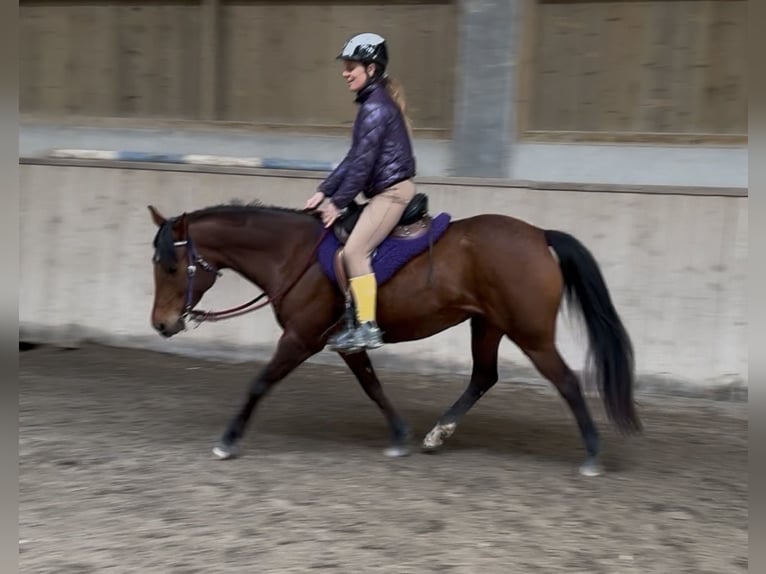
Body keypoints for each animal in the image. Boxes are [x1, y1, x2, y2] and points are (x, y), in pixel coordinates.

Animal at [147, 193, 641, 477]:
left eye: (171, 266)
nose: (161, 323)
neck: (294, 255)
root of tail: (539, 235)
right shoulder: (343, 344)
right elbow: (373, 386)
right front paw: (400, 435)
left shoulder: (301, 338)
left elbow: (259, 383)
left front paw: (228, 441)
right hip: (488, 324)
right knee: (484, 377)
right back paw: (437, 434)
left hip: (530, 333)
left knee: (567, 381)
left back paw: (592, 455)